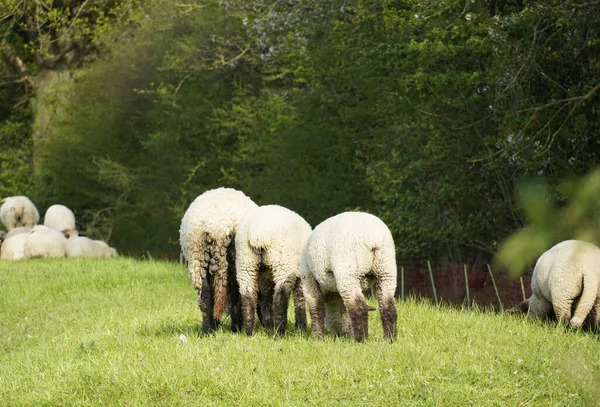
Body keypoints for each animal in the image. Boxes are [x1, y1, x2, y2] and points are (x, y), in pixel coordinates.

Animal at [178, 188, 258, 334]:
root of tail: (218, 228)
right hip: (234, 259)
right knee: (236, 295)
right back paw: (234, 328)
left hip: (198, 257)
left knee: (205, 297)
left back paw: (208, 331)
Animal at [234, 206, 312, 336]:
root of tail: (258, 235)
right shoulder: (301, 276)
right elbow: (299, 298)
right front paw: (301, 327)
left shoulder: (264, 278)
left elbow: (267, 299)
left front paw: (269, 325)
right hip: (282, 264)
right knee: (281, 295)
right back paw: (280, 332)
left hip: (245, 262)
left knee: (247, 294)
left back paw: (250, 332)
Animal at [300, 212, 398, 342]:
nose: (337, 334)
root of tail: (373, 239)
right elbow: (344, 311)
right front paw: (347, 334)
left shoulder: (308, 278)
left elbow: (316, 308)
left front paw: (317, 337)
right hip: (385, 269)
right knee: (388, 306)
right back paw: (389, 339)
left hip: (349, 271)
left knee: (358, 307)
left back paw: (361, 340)